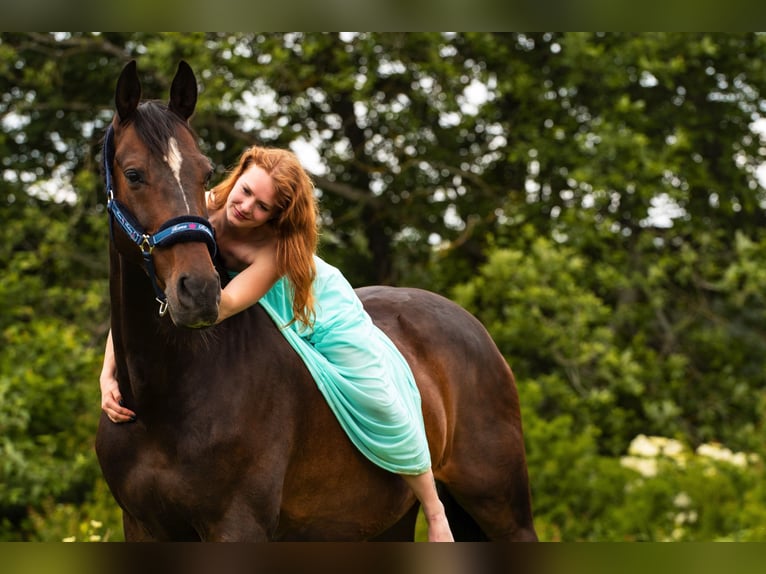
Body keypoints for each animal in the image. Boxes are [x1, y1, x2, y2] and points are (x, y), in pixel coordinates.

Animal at [94, 60, 540, 544]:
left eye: (205, 172)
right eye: (134, 173)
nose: (199, 292)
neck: (161, 401)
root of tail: (475, 330)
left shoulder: (238, 525)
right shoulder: (143, 526)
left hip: (503, 511)